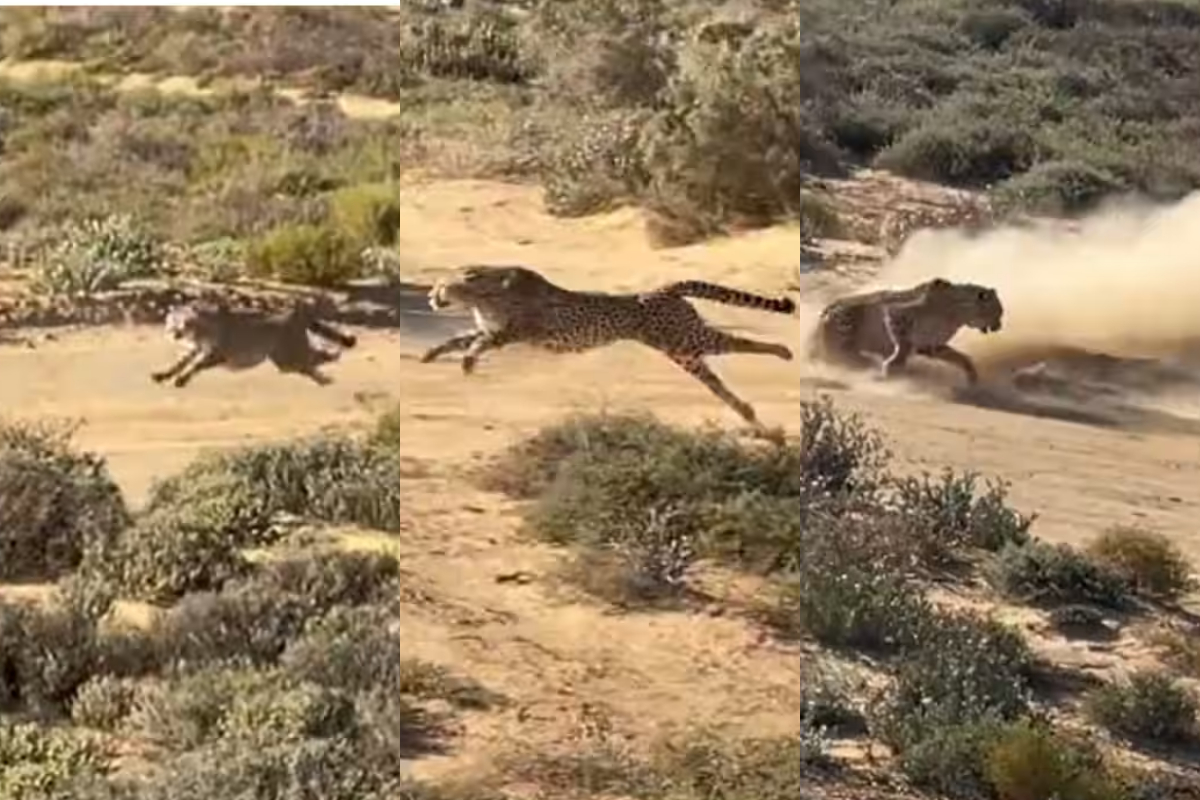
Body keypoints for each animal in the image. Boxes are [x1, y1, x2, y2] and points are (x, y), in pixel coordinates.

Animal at [150, 299, 357, 388]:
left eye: (184, 322)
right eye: (171, 322)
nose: (174, 333)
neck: (200, 327)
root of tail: (292, 313)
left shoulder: (216, 354)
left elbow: (195, 365)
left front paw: (181, 380)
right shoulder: (196, 349)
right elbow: (180, 363)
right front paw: (163, 375)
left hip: (287, 356)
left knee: (313, 359)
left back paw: (331, 364)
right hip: (284, 359)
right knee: (309, 362)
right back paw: (324, 377)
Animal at [419, 264, 797, 427]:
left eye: (440, 285)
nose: (429, 297)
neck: (482, 292)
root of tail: (663, 289)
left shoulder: (515, 332)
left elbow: (476, 343)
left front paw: (467, 362)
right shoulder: (494, 330)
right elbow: (458, 339)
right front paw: (430, 354)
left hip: (687, 339)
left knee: (741, 341)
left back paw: (783, 352)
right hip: (683, 352)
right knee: (721, 384)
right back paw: (756, 421)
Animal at [809, 277, 1003, 386]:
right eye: (998, 311)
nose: (998, 326)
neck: (956, 312)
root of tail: (829, 306)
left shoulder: (931, 346)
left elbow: (960, 357)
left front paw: (972, 377)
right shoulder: (896, 313)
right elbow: (903, 344)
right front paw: (893, 366)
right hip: (846, 330)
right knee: (842, 357)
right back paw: (868, 365)